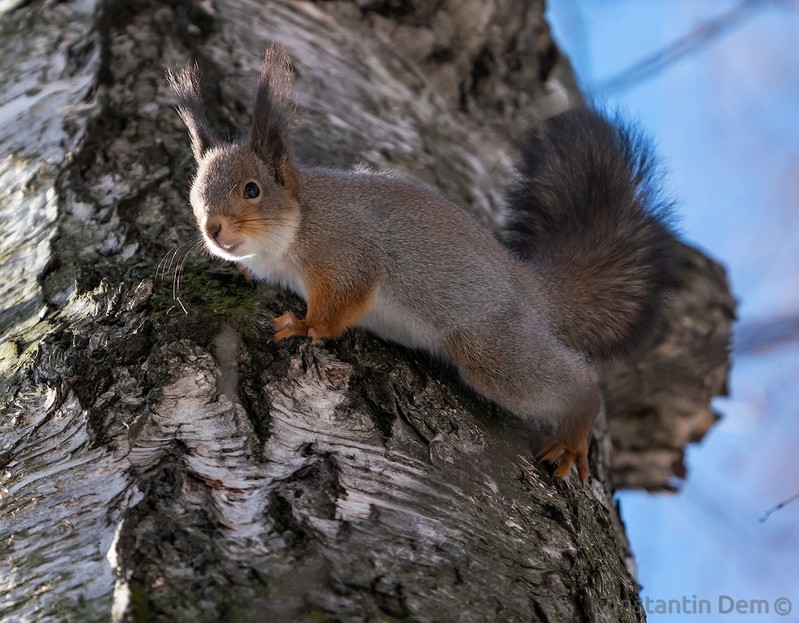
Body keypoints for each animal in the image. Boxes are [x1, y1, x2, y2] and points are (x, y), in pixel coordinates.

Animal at [167, 46, 676, 486]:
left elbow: (344, 301)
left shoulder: (348, 251)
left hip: (493, 348)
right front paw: (244, 272)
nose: (213, 228)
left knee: (575, 383)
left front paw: (305, 325)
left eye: (252, 190)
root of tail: (533, 287)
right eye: (195, 191)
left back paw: (573, 432)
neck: (298, 222)